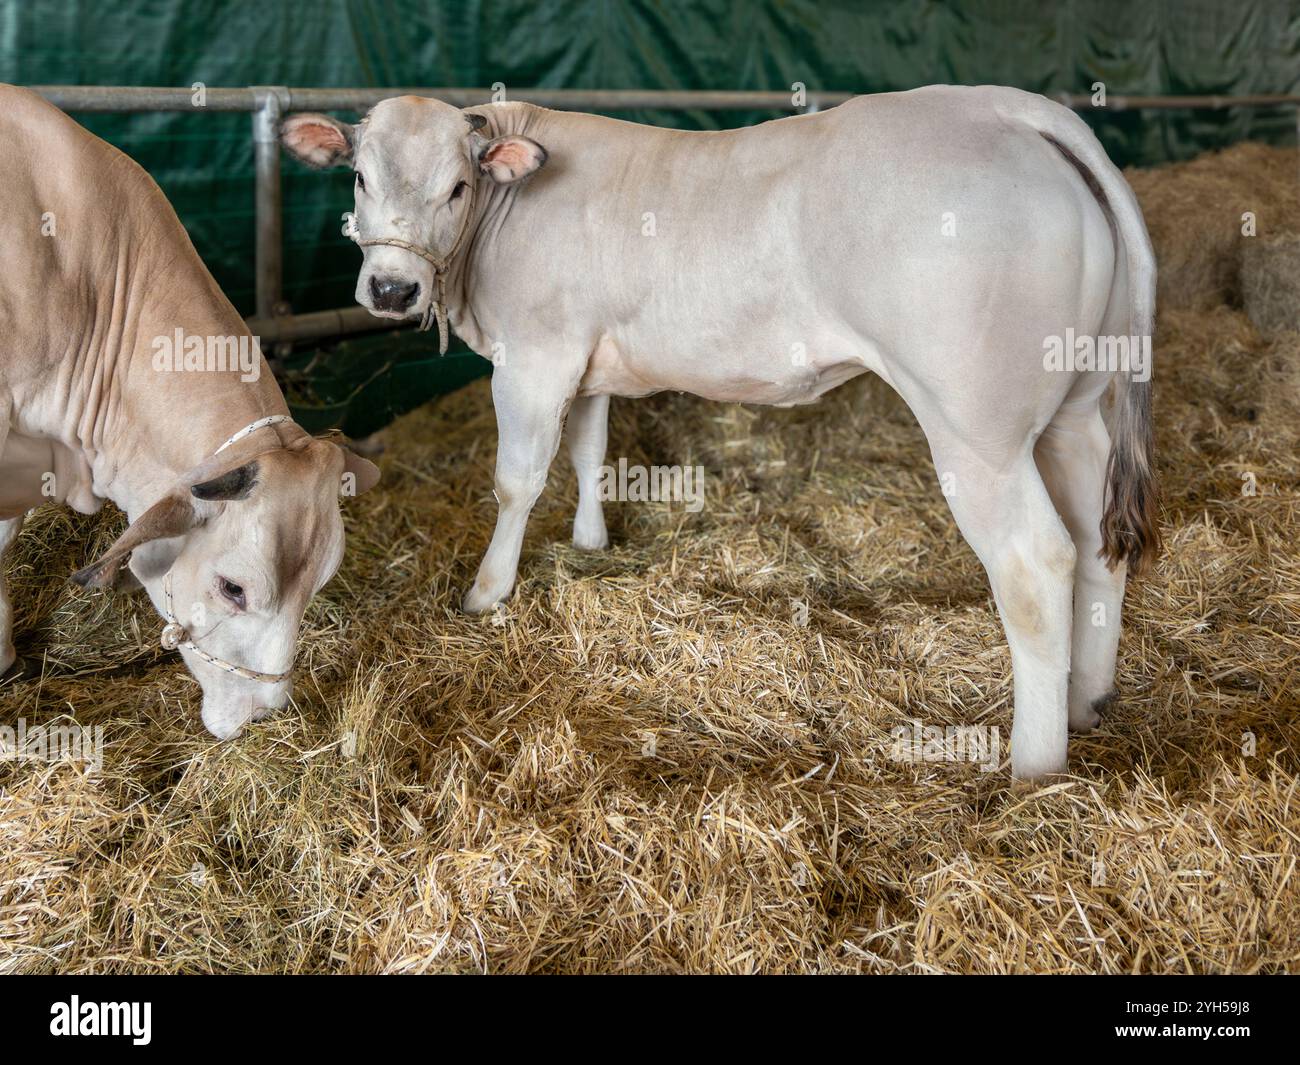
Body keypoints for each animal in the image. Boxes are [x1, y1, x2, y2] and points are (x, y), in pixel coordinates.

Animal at [284, 83, 1159, 780]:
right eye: (359, 175)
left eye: (458, 185)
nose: (391, 289)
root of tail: (1004, 105)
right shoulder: (589, 360)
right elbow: (591, 452)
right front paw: (592, 541)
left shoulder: (535, 354)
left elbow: (517, 479)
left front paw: (487, 592)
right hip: (1075, 409)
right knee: (1097, 541)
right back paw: (1089, 699)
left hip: (978, 431)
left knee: (1036, 563)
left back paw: (1033, 768)